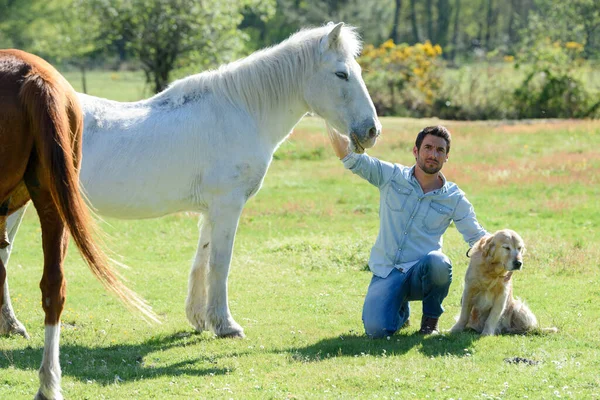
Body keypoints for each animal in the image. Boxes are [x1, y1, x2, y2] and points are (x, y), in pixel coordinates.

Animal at [1, 22, 380, 344]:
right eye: (342, 73)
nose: (372, 130)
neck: (240, 110)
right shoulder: (228, 205)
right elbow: (220, 264)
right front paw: (226, 325)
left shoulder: (211, 210)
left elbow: (203, 259)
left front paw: (200, 319)